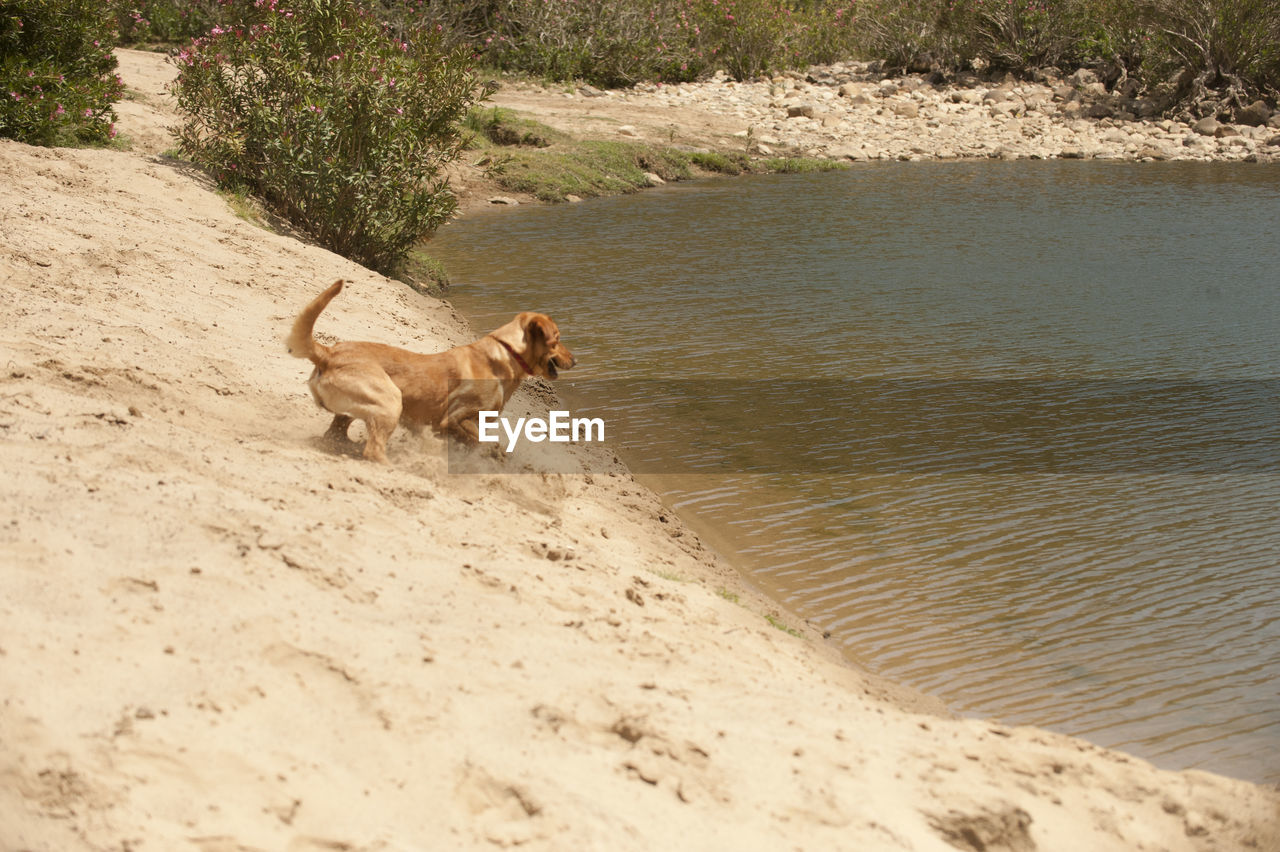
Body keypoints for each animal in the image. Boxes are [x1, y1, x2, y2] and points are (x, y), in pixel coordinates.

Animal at [288, 280, 578, 460]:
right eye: (558, 338)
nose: (575, 360)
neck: (506, 354)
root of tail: (328, 353)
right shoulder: (454, 419)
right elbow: (477, 439)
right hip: (390, 401)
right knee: (373, 450)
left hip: (354, 410)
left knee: (335, 435)